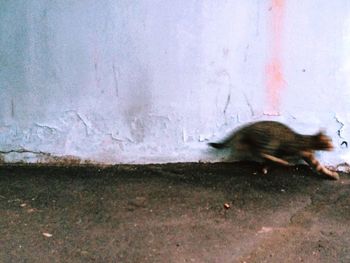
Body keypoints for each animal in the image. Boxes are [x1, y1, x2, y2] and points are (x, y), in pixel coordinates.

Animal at [208, 120, 340, 180]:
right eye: (329, 141)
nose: (333, 146)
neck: (307, 141)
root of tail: (249, 126)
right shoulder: (293, 149)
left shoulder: (307, 155)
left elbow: (318, 166)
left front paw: (330, 173)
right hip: (271, 140)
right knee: (263, 152)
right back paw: (282, 162)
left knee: (259, 152)